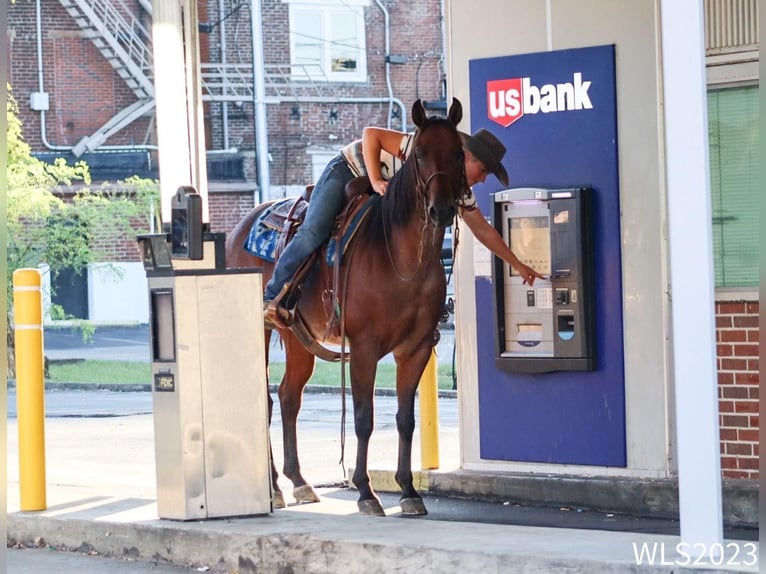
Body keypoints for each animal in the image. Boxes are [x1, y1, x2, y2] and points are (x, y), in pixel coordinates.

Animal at [226, 98, 468, 516]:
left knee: (289, 397)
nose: (441, 210)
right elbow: (364, 418)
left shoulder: (416, 348)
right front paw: (366, 491)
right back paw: (272, 487)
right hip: (261, 331)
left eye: (457, 153)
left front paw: (408, 490)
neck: (402, 258)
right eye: (419, 154)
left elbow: (405, 419)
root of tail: (241, 225)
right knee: (268, 400)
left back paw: (299, 482)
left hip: (296, 338)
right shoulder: (365, 348)